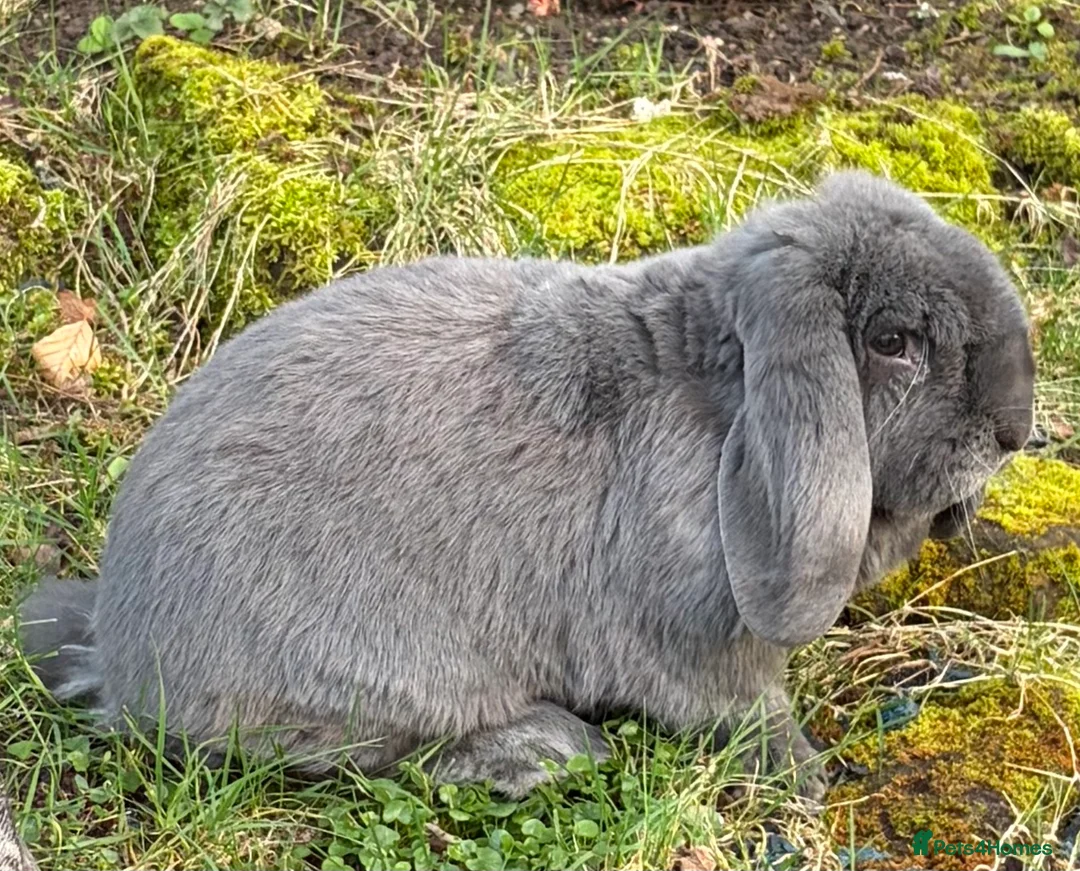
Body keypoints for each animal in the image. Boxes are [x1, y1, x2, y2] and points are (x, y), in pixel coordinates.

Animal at [18, 170, 1036, 802]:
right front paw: (806, 778)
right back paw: (544, 749)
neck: (721, 409)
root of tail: (123, 653)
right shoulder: (700, 651)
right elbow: (745, 710)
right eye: (895, 341)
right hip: (365, 682)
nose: (1016, 429)